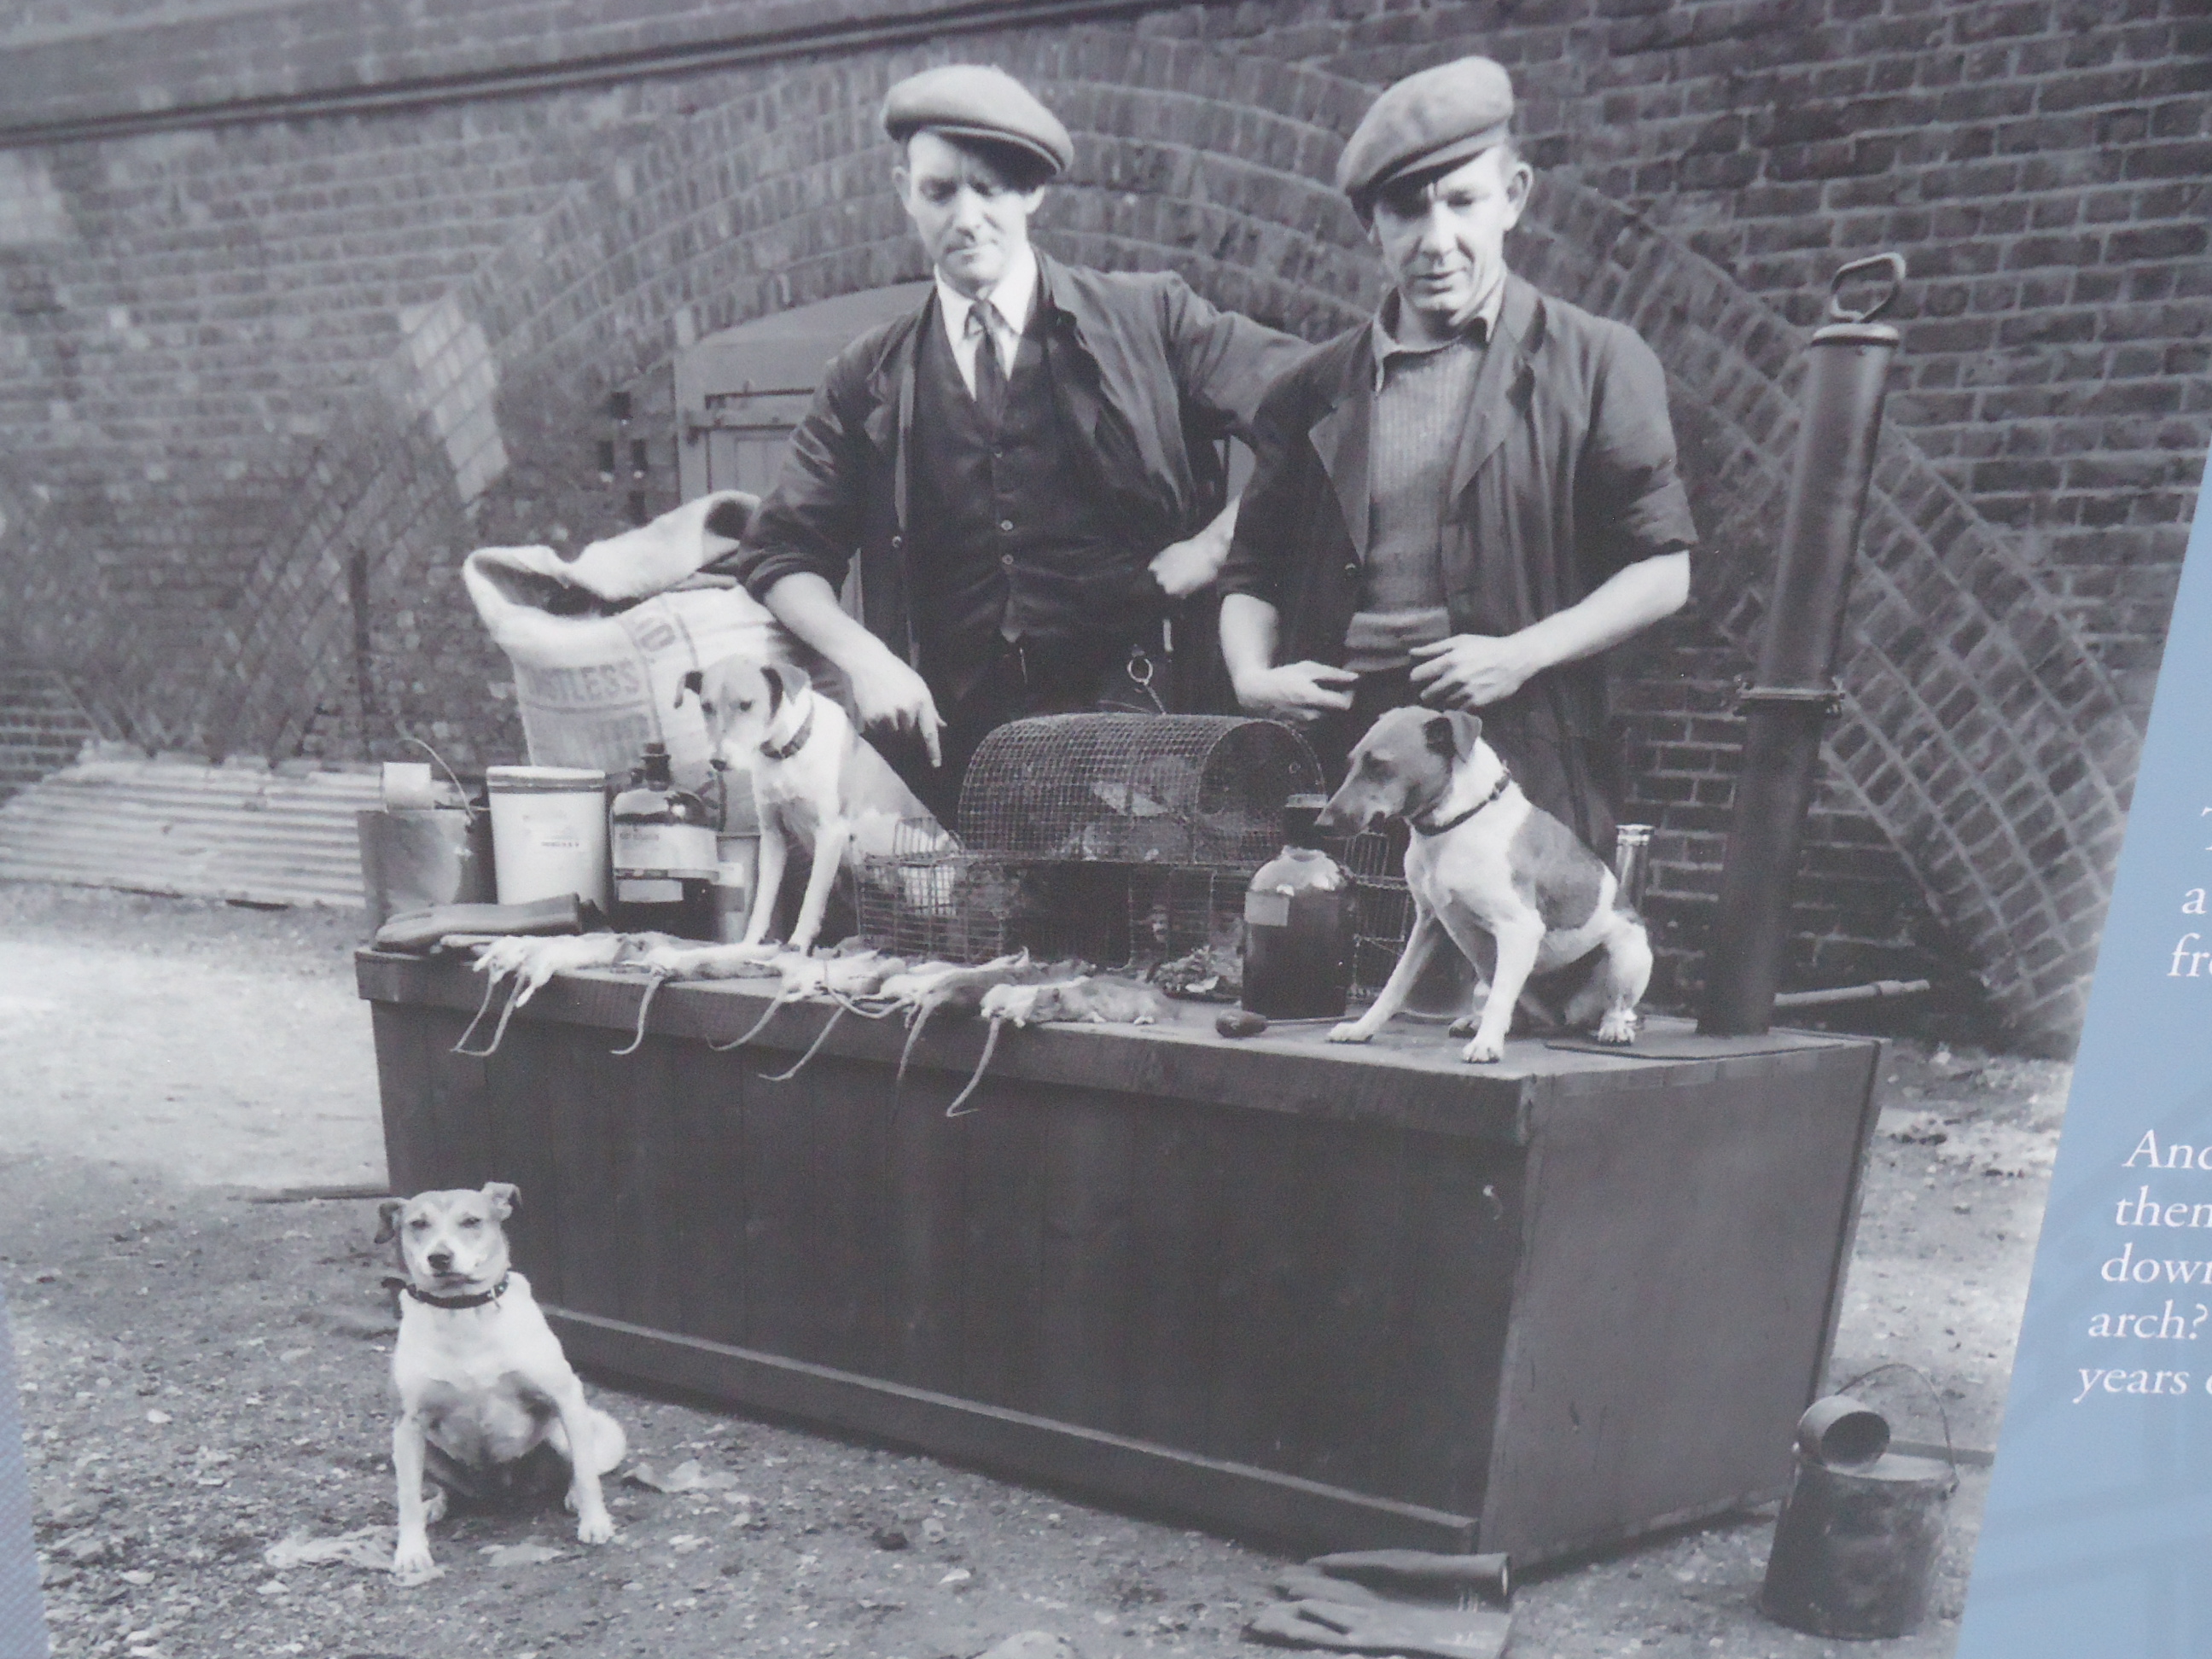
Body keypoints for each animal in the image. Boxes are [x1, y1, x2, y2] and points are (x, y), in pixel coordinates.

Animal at [377, 1183, 625, 1581]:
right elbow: (407, 1498)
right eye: (418, 1224)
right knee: (442, 1490)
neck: (463, 1310)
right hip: (423, 1448)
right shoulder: (408, 1423)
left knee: (578, 1466)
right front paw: (411, 1551)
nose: (439, 1258)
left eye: (471, 1221)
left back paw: (573, 1496)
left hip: (560, 1433)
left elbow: (587, 1474)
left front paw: (595, 1522)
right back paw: (438, 1505)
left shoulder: (565, 1397)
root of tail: (502, 1492)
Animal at [684, 657, 957, 951]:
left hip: (923, 894)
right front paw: (748, 945)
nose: (718, 761)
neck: (786, 753)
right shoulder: (773, 835)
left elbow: (812, 899)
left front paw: (797, 945)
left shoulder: (829, 834)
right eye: (706, 707)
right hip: (850, 881)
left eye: (746, 704)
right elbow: (762, 902)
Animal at [1317, 707, 1651, 1064]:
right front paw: (1361, 1028)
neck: (1458, 822)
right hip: (1486, 969)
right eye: (1352, 762)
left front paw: (1487, 1045)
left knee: (1613, 1006)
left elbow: (1500, 998)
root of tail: (1560, 1017)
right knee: (1513, 1012)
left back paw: (1613, 1028)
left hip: (1627, 955)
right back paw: (1478, 1023)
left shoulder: (1519, 928)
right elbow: (1395, 985)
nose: (1322, 824)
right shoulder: (1428, 923)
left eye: (1378, 765)